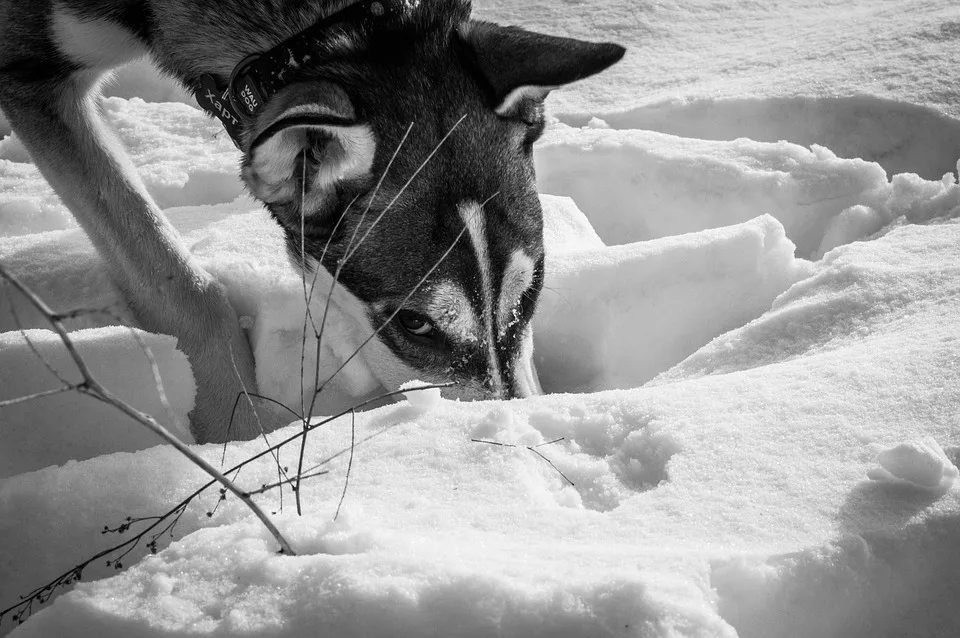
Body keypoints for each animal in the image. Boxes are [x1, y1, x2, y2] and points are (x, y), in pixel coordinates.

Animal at [0, 0, 628, 442]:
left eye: (533, 290)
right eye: (415, 324)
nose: (512, 435)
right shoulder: (33, 78)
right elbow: (183, 285)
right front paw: (237, 440)